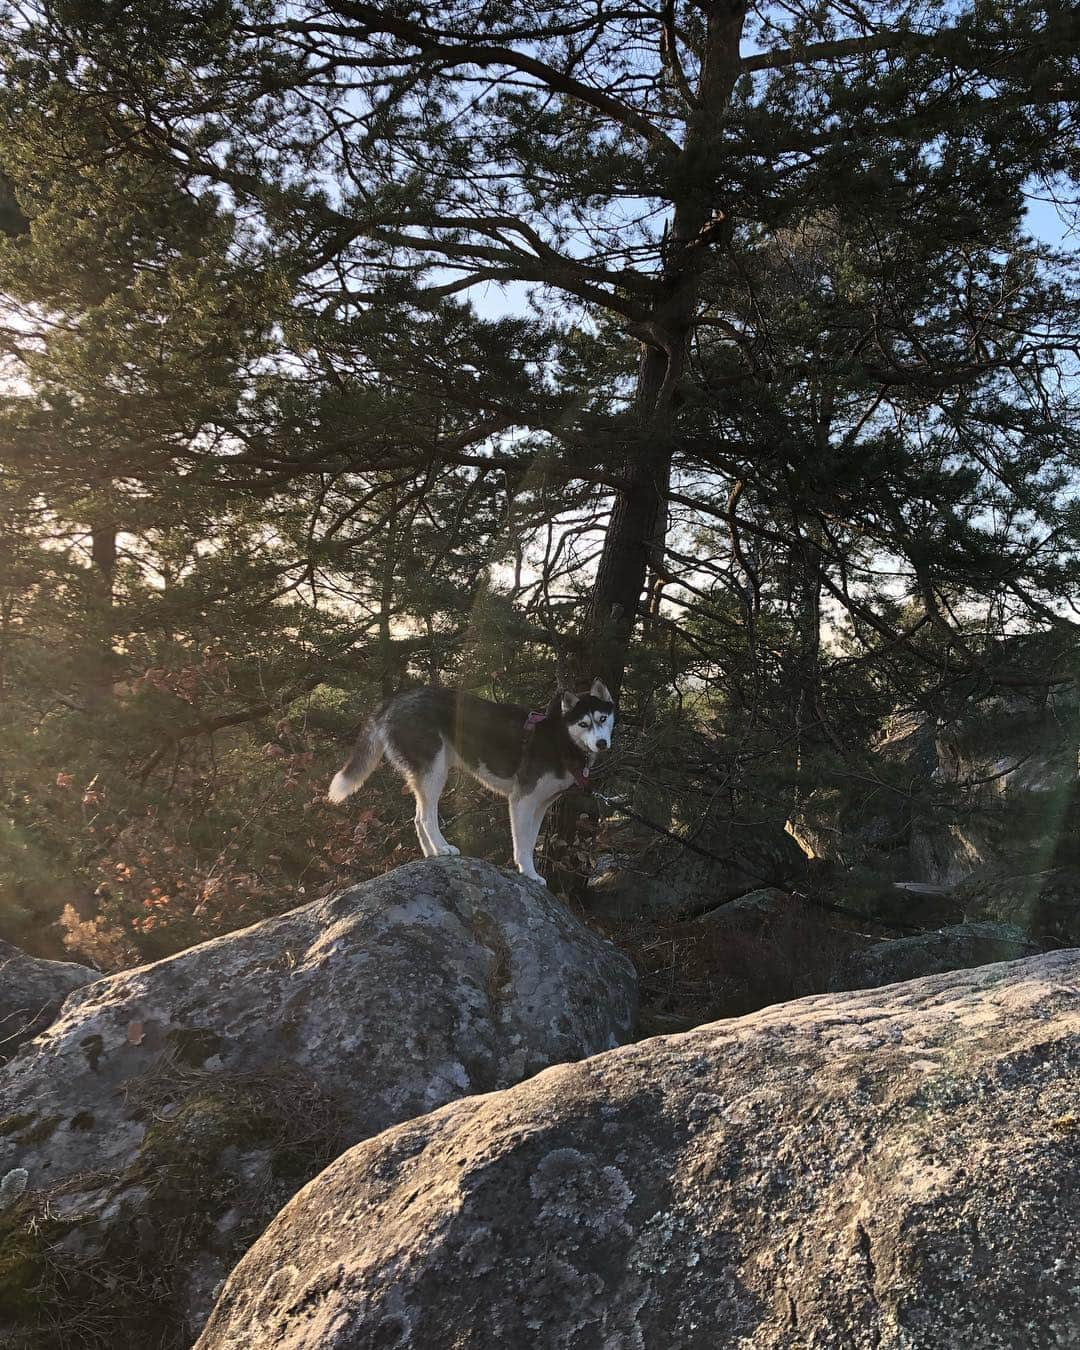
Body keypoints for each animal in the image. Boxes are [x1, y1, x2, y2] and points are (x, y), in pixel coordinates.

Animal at [325, 680, 615, 880]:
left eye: (603, 718)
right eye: (583, 724)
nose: (602, 743)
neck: (561, 739)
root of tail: (394, 700)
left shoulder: (541, 805)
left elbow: (531, 841)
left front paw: (530, 873)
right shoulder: (521, 800)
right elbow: (522, 845)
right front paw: (528, 873)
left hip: (427, 774)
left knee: (417, 818)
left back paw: (432, 854)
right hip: (435, 771)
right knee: (426, 818)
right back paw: (443, 848)